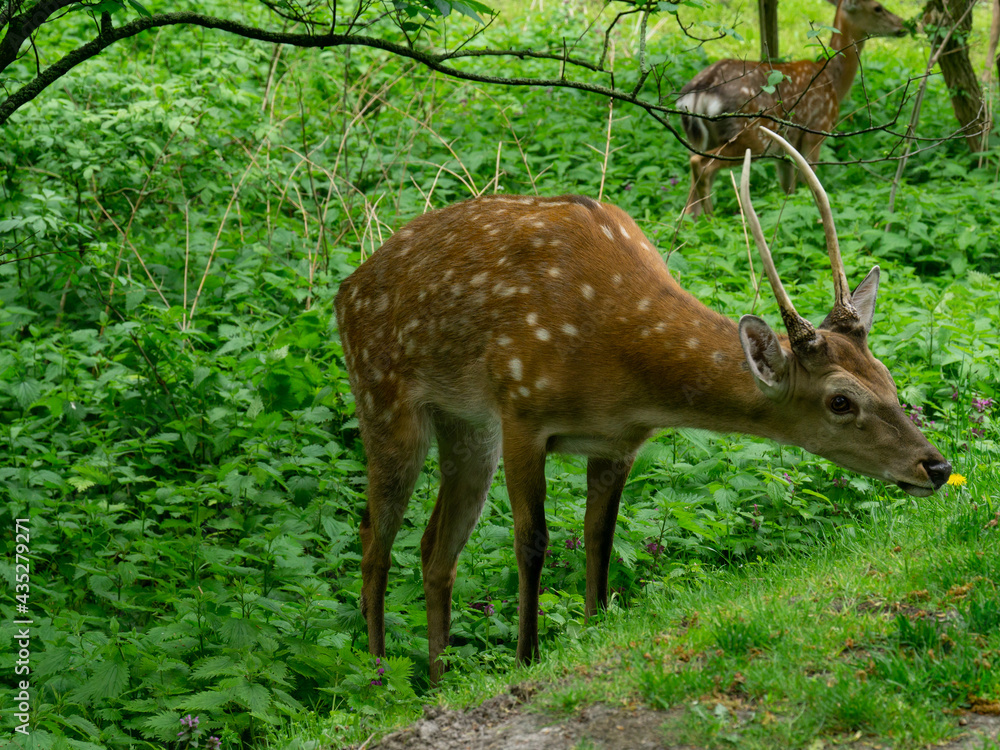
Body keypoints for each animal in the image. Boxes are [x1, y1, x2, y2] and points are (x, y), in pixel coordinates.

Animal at [334, 128, 950, 685]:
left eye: (887, 376)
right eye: (840, 401)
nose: (937, 466)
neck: (618, 369)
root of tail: (343, 294)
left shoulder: (617, 443)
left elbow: (600, 537)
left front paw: (594, 627)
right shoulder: (521, 409)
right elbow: (532, 541)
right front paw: (527, 658)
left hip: (466, 426)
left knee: (435, 548)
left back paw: (437, 681)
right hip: (383, 397)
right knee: (373, 539)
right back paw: (380, 675)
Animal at [677, 0, 907, 217]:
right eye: (878, 7)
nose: (903, 24)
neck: (833, 81)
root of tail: (699, 90)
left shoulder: (786, 148)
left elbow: (788, 188)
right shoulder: (817, 130)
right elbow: (808, 183)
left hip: (701, 139)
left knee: (693, 184)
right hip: (751, 135)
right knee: (702, 165)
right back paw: (712, 218)